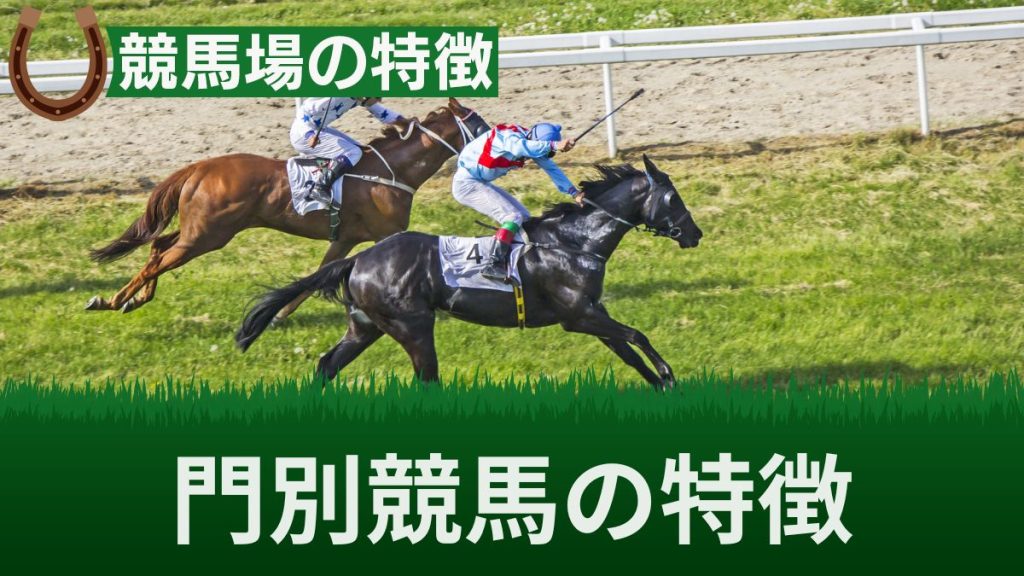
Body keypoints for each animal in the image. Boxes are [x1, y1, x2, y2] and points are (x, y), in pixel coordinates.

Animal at [85, 98, 491, 316]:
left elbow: (319, 273)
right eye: (479, 124)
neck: (390, 171)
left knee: (157, 247)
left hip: (198, 231)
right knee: (158, 260)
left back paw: (132, 300)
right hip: (206, 236)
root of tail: (199, 167)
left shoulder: (345, 238)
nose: (497, 144)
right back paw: (113, 299)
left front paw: (280, 312)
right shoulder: (387, 234)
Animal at [235, 155, 702, 389]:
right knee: (426, 379)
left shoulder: (592, 312)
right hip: (412, 327)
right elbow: (637, 336)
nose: (695, 234)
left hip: (365, 326)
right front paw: (668, 375)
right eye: (673, 198)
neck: (573, 242)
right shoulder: (578, 316)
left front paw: (660, 384)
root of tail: (357, 260)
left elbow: (627, 349)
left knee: (327, 365)